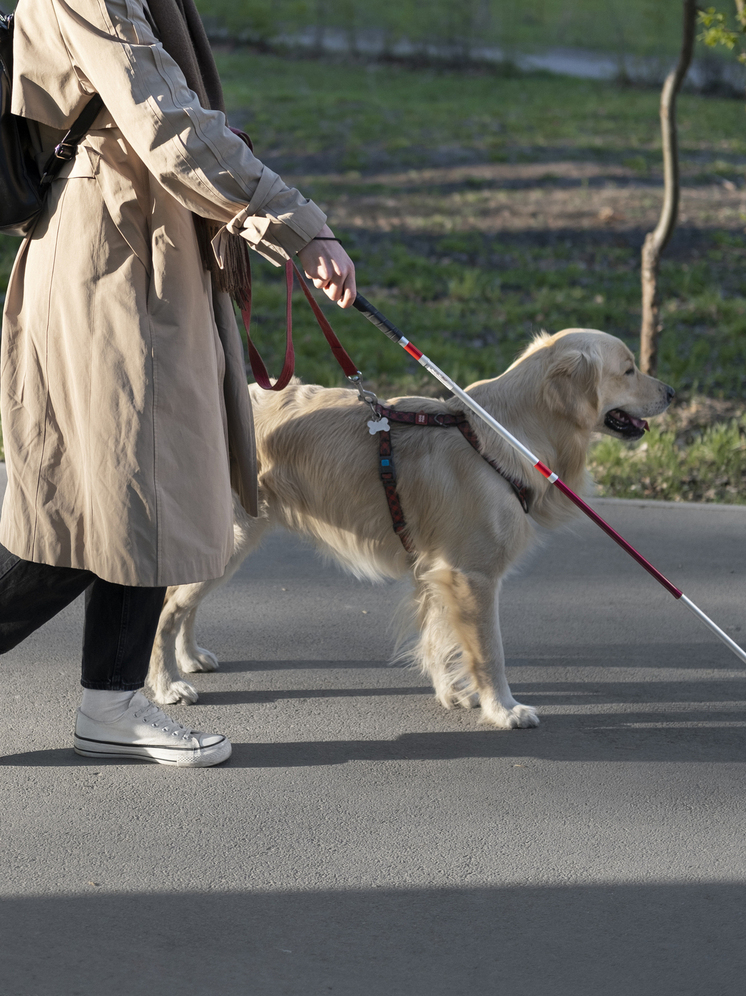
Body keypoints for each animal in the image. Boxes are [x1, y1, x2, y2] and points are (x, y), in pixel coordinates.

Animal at [148, 330, 672, 728]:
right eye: (629, 370)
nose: (671, 393)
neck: (503, 436)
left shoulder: (438, 571)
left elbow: (440, 638)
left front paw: (452, 693)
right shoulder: (471, 575)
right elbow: (489, 652)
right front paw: (503, 709)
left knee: (183, 602)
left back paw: (189, 656)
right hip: (235, 537)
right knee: (168, 608)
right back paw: (167, 683)